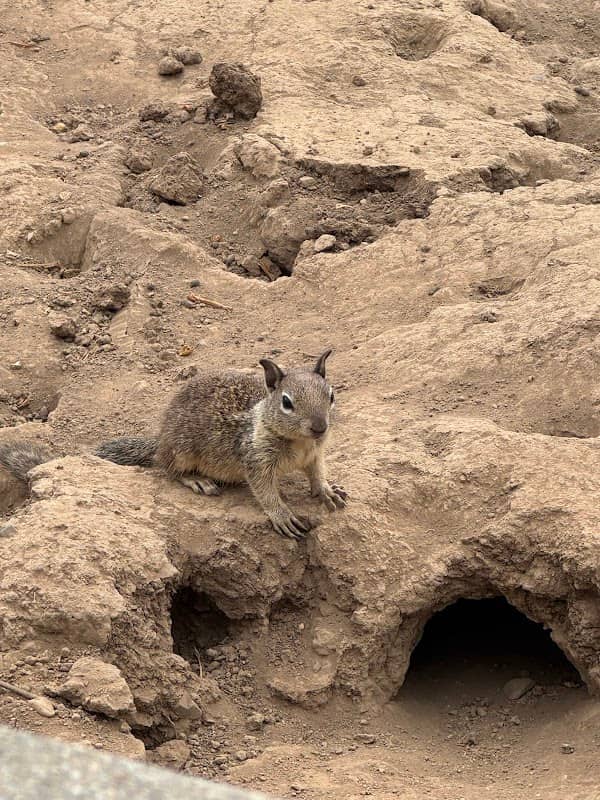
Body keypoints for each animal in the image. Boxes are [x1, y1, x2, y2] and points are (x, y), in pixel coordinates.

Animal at [0, 350, 347, 539]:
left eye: (330, 395)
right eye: (287, 403)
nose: (320, 426)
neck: (300, 443)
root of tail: (161, 438)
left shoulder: (316, 454)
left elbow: (318, 473)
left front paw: (327, 490)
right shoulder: (256, 459)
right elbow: (264, 490)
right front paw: (282, 514)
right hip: (181, 451)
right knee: (167, 468)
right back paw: (197, 480)